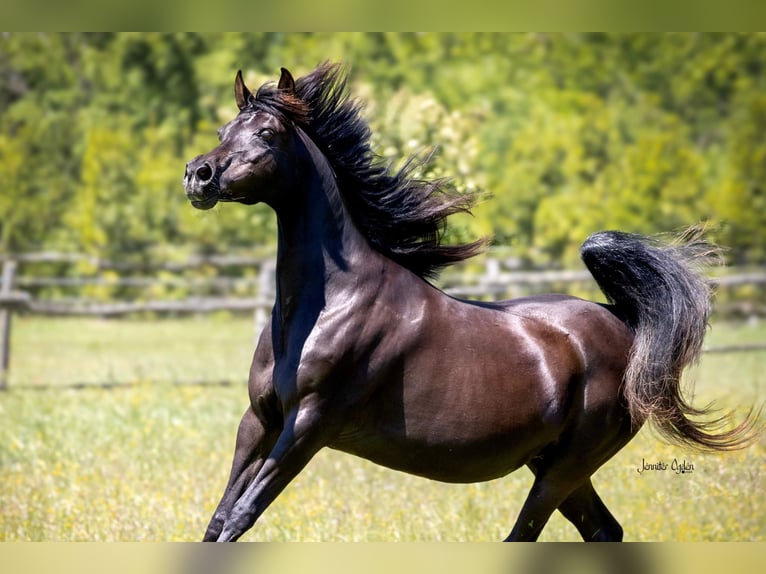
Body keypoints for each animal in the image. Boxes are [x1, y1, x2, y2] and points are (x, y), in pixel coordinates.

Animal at [183, 63, 760, 542]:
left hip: (567, 464)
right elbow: (218, 520)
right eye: (222, 133)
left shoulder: (309, 426)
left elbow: (239, 518)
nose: (198, 175)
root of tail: (624, 322)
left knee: (528, 534)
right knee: (604, 530)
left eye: (267, 133)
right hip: (552, 462)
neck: (326, 306)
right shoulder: (260, 421)